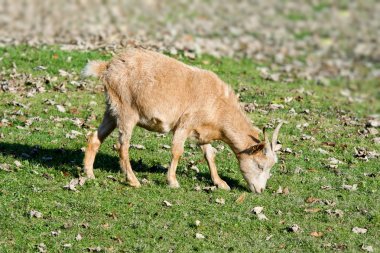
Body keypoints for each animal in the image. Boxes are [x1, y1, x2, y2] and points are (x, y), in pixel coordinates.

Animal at [82, 48, 282, 193]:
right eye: (260, 165)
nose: (260, 190)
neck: (218, 105)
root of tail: (108, 66)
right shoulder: (185, 123)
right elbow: (177, 151)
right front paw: (172, 181)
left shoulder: (201, 130)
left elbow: (210, 154)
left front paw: (220, 183)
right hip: (127, 110)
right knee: (122, 145)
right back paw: (133, 180)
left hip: (111, 110)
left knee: (95, 138)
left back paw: (89, 174)